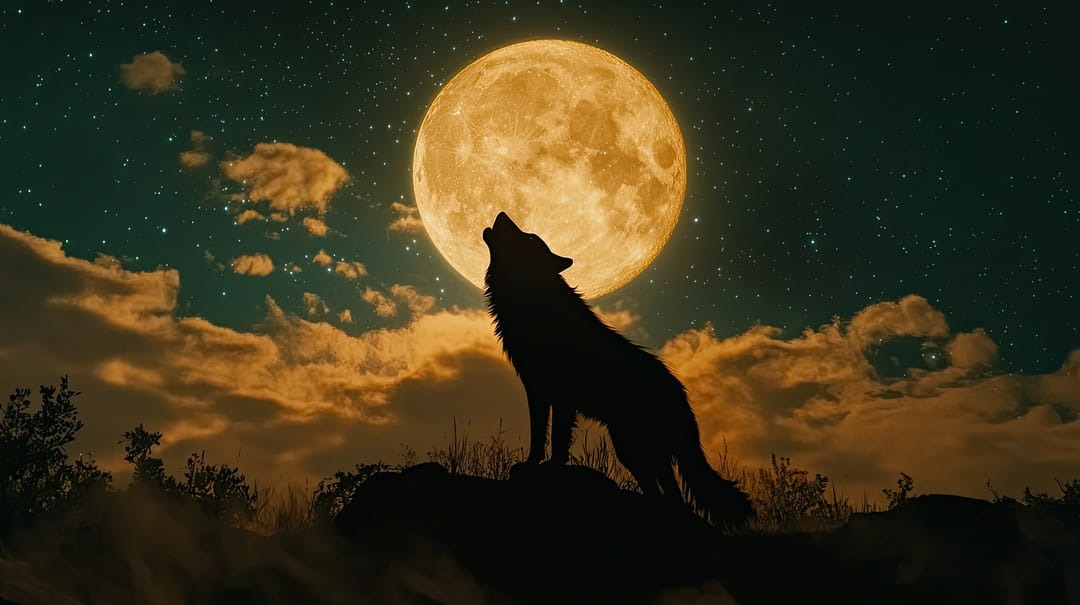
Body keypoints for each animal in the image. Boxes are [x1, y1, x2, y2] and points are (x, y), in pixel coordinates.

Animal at [483, 211, 753, 527]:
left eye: (528, 237)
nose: (502, 213)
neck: (532, 300)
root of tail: (682, 396)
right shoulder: (536, 389)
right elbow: (537, 435)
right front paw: (530, 464)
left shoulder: (562, 395)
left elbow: (558, 438)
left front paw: (552, 468)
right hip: (635, 449)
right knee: (668, 492)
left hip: (630, 445)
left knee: (671, 494)